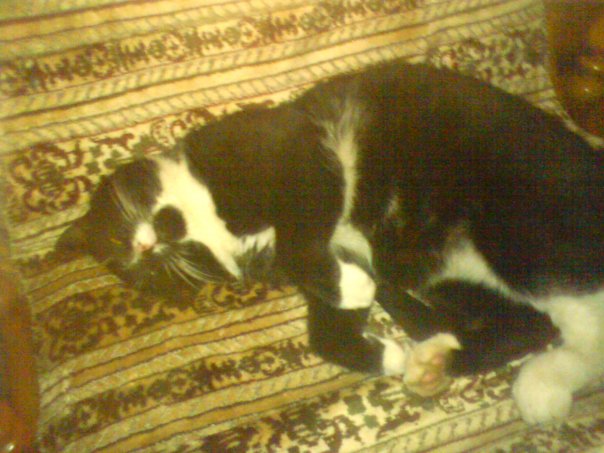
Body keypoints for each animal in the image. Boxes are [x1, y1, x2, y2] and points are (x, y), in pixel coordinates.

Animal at [57, 60, 603, 424]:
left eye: (115, 233)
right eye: (135, 275)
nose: (141, 252)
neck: (196, 218)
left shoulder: (303, 154)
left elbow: (301, 246)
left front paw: (359, 295)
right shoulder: (327, 252)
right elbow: (323, 329)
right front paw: (385, 352)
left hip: (516, 231)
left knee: (580, 319)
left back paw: (533, 384)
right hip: (442, 270)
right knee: (527, 324)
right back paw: (435, 361)